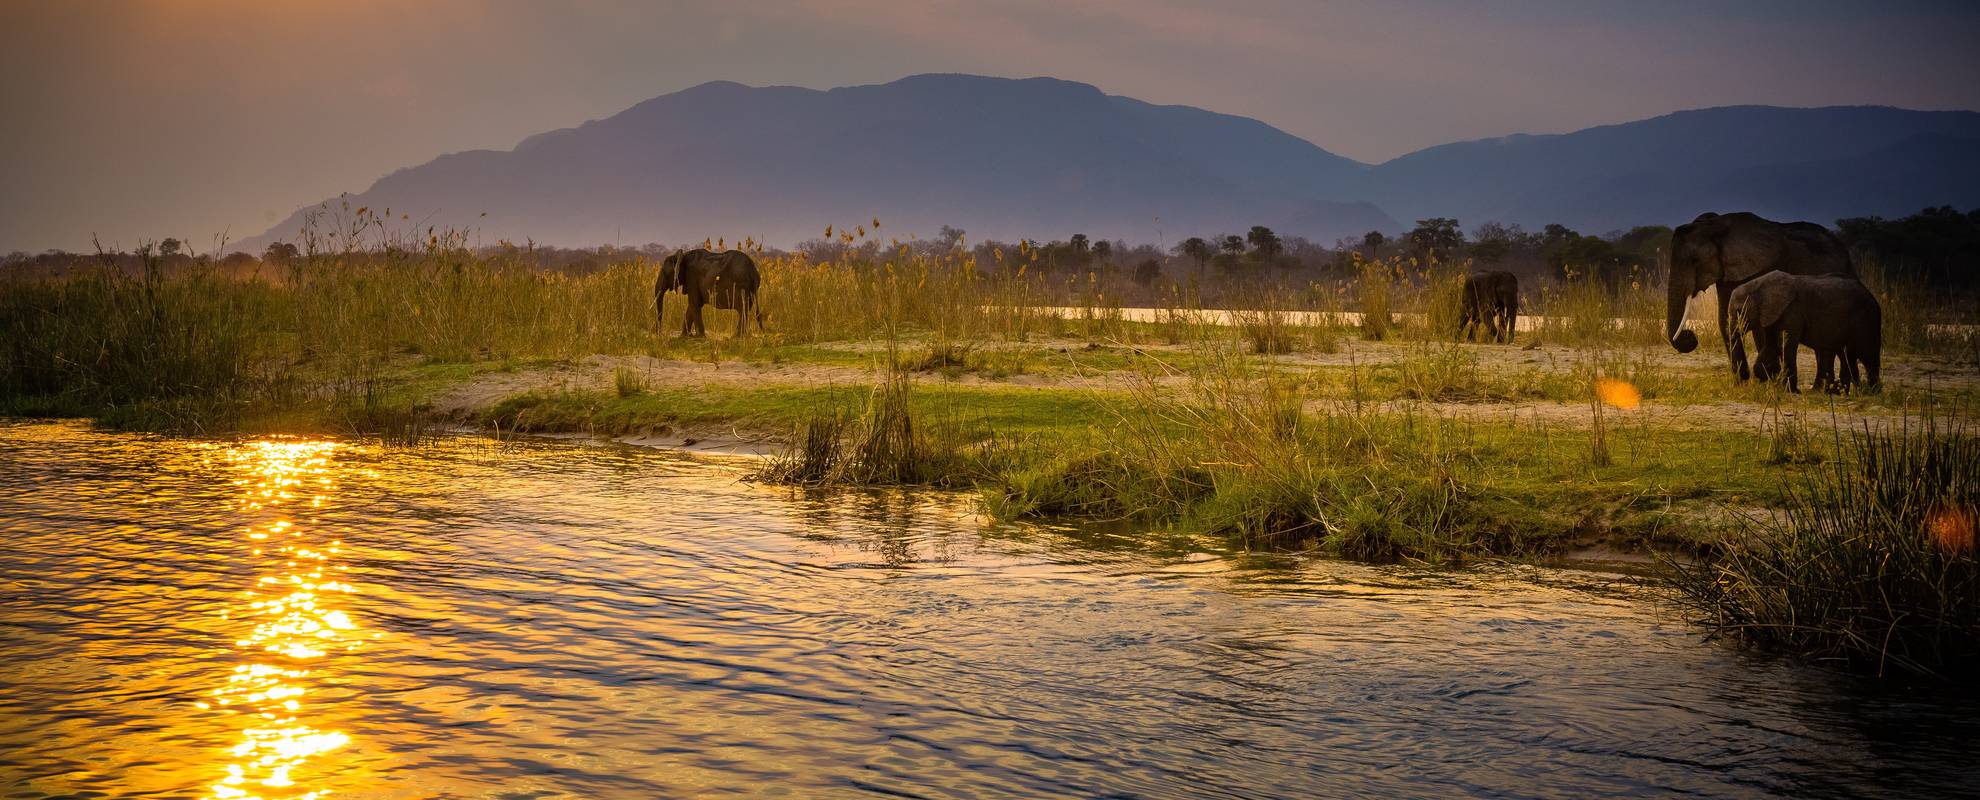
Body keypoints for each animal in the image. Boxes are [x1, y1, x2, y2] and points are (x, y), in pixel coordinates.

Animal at [1671, 208, 1853, 378]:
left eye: (1695, 261)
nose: (1690, 336)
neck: (1715, 227)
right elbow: (1726, 318)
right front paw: (1743, 379)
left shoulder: (1760, 268)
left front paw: (1768, 377)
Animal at [1726, 271, 1877, 394]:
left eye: (1740, 312)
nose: (1745, 377)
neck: (1758, 284)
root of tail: (1872, 296)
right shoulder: (1772, 313)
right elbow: (1771, 345)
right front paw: (1764, 378)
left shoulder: (1792, 311)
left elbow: (1785, 345)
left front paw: (1791, 391)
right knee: (1848, 356)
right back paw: (1847, 392)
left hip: (1866, 320)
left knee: (1868, 355)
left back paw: (1871, 392)